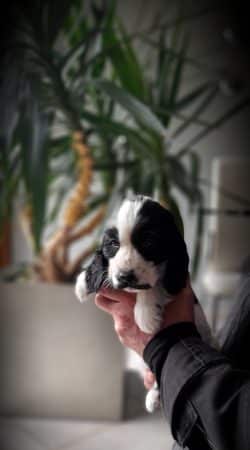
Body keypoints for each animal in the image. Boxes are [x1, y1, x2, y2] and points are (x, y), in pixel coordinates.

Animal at [74, 195, 213, 414]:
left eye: (149, 242)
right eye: (113, 243)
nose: (124, 276)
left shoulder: (175, 278)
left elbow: (155, 283)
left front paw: (146, 317)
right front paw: (83, 282)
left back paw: (153, 397)